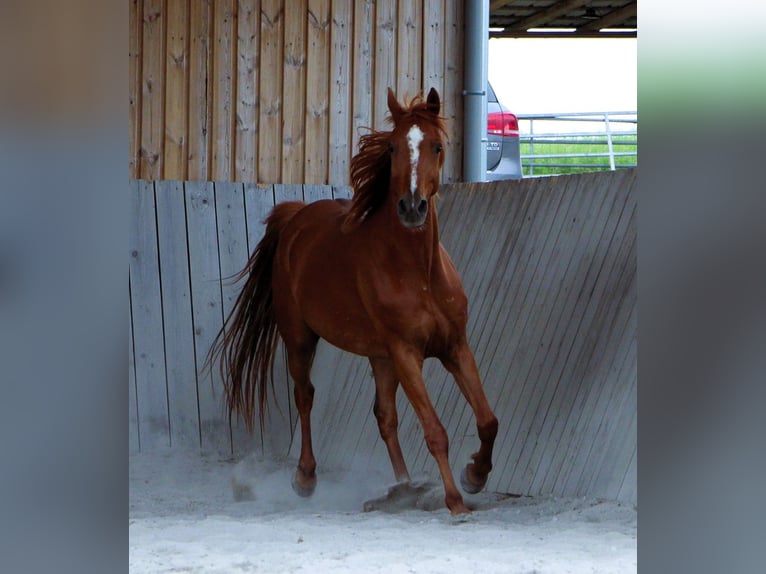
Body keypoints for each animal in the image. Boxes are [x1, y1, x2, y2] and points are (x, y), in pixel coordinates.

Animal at [210, 88, 498, 515]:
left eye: (437, 146)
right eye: (393, 147)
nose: (412, 208)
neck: (419, 274)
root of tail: (296, 217)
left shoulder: (454, 347)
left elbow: (488, 420)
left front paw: (474, 476)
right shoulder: (406, 353)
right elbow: (435, 431)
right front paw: (456, 501)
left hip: (379, 357)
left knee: (385, 417)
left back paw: (403, 487)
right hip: (300, 339)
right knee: (305, 397)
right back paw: (305, 479)